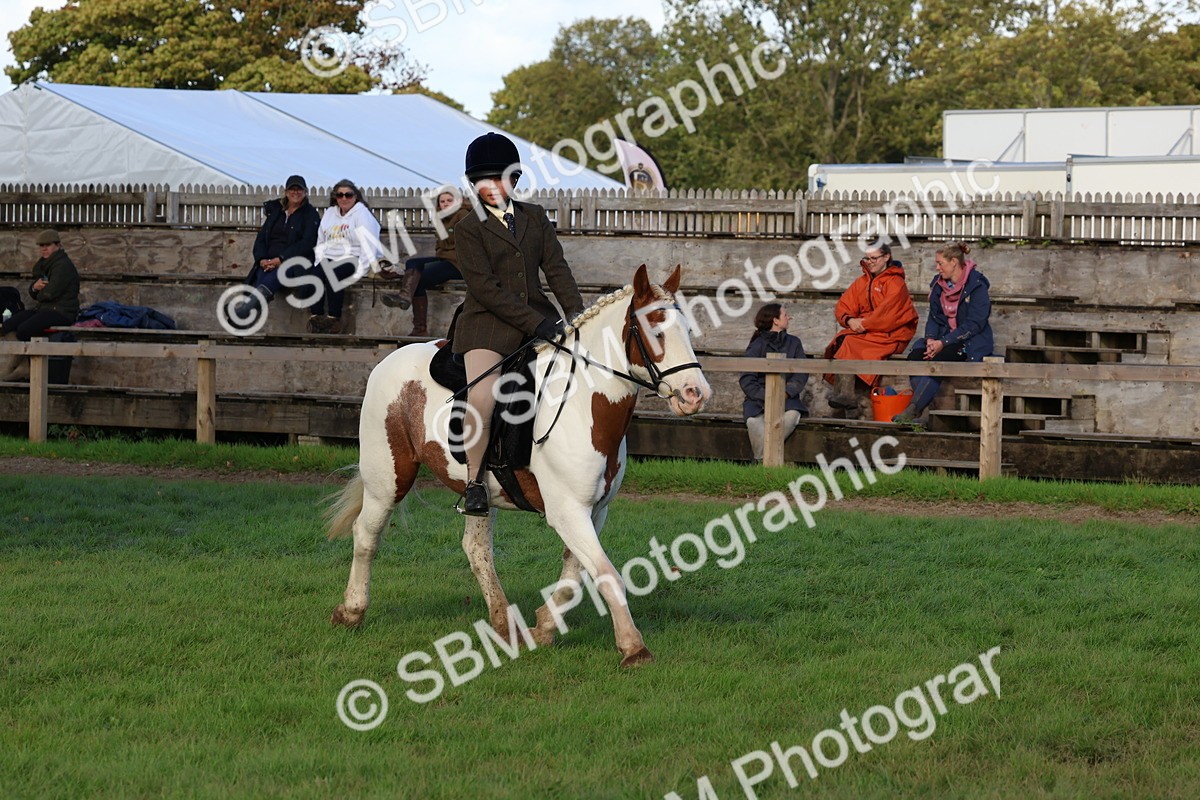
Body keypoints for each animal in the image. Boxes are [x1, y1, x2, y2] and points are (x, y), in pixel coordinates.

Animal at [325, 265, 712, 667]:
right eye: (655, 329)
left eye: (687, 330)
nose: (695, 394)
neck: (584, 405)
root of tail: (390, 358)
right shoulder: (568, 511)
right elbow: (606, 574)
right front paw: (633, 647)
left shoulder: (594, 510)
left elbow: (575, 576)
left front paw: (542, 627)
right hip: (388, 479)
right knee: (366, 535)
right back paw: (351, 611)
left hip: (479, 493)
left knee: (476, 550)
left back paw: (504, 624)